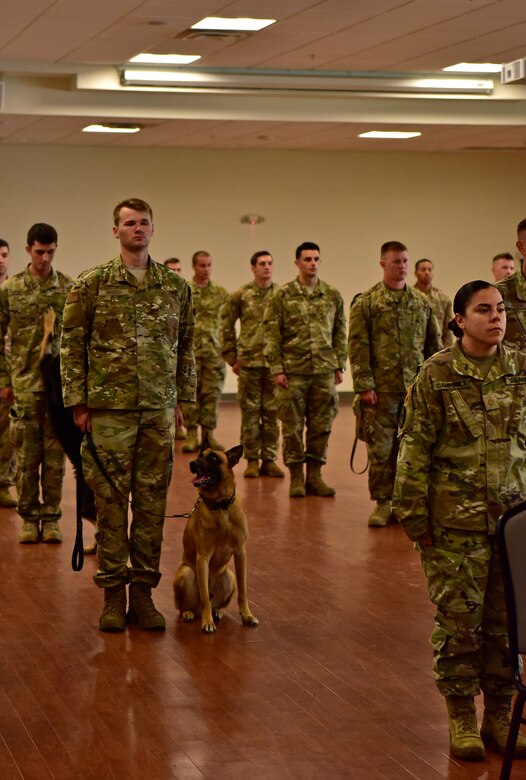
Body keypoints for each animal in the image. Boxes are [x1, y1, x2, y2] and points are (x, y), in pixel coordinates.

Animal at [175, 432, 260, 632]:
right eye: (200, 456)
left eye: (213, 458)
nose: (192, 464)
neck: (220, 507)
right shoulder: (203, 557)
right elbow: (205, 595)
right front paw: (207, 623)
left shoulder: (240, 553)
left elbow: (243, 591)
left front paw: (247, 615)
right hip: (185, 573)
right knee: (189, 604)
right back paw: (191, 613)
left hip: (229, 576)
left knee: (218, 603)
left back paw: (218, 611)